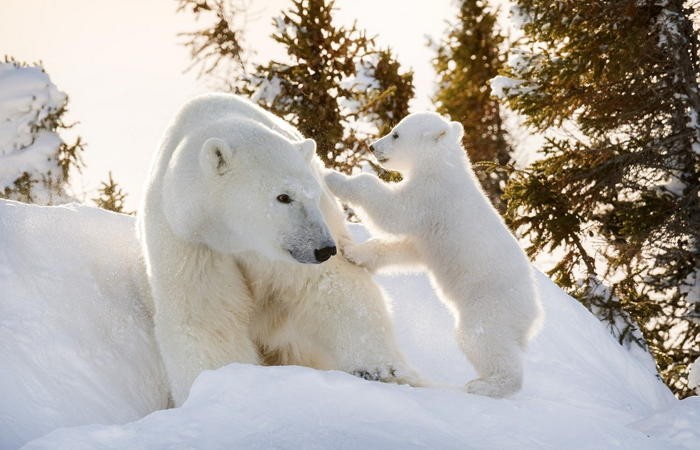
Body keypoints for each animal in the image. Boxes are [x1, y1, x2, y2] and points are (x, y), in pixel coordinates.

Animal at [139, 93, 418, 406]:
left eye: (313, 193)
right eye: (283, 196)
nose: (324, 249)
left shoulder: (285, 251)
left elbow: (332, 287)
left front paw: (383, 372)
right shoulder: (191, 242)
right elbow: (206, 318)